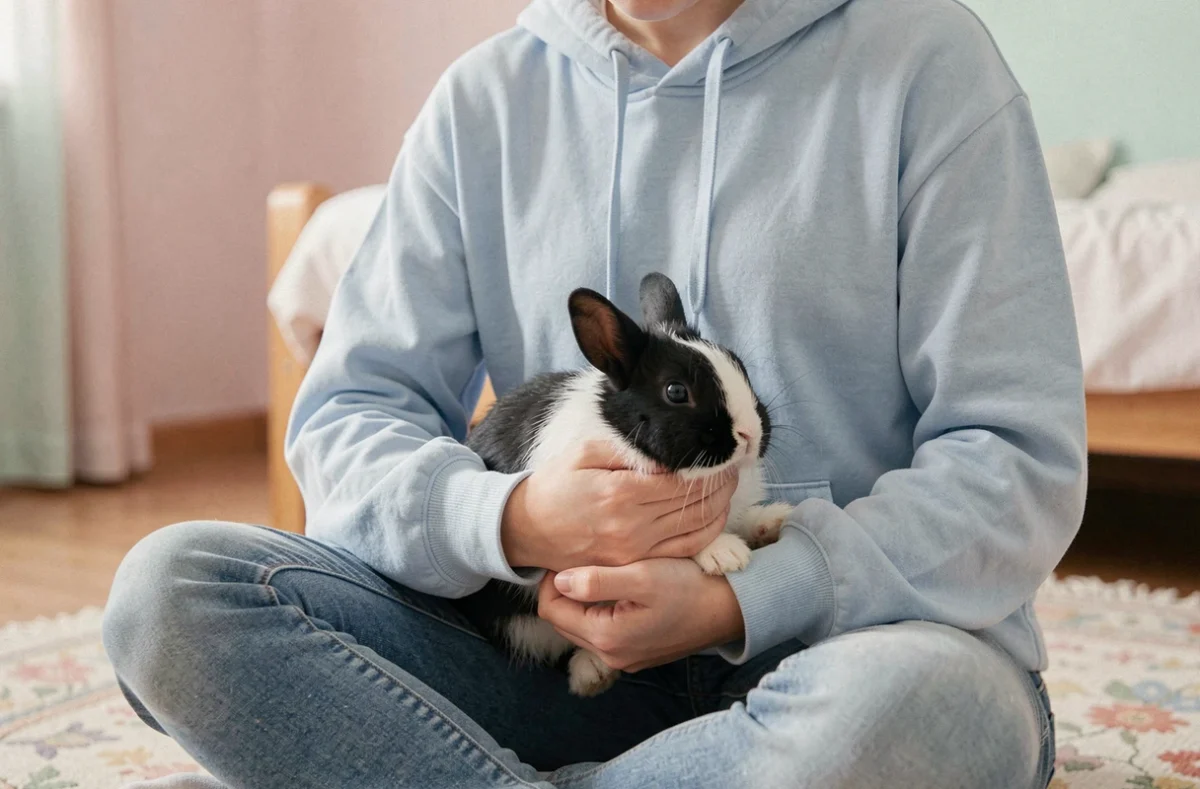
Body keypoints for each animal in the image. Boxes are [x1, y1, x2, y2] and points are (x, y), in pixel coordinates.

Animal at [457, 272, 791, 697]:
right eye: (676, 391)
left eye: (740, 366)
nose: (750, 434)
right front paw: (725, 554)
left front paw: (769, 522)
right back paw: (592, 675)